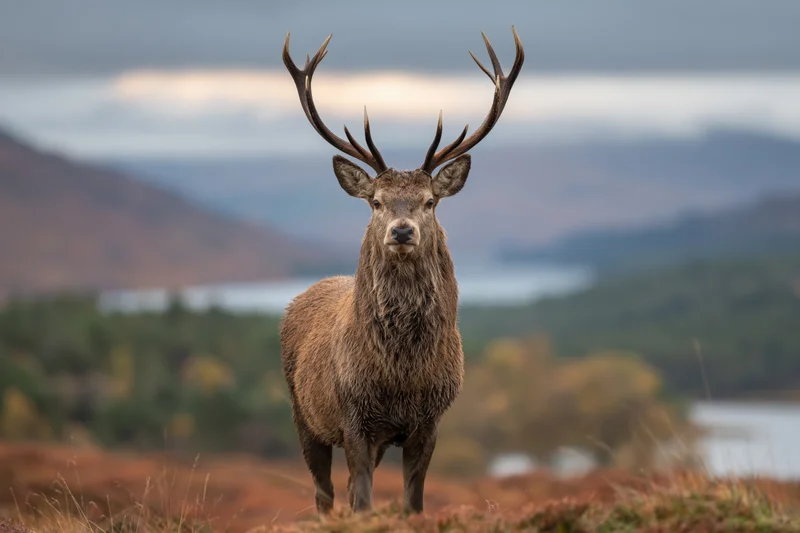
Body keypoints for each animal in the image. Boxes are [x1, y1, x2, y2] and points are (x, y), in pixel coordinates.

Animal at [279, 27, 524, 515]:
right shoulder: (352, 417)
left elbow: (413, 499)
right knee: (324, 492)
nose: (403, 230)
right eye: (376, 202)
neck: (401, 376)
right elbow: (362, 500)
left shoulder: (429, 421)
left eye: (430, 201)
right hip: (304, 413)